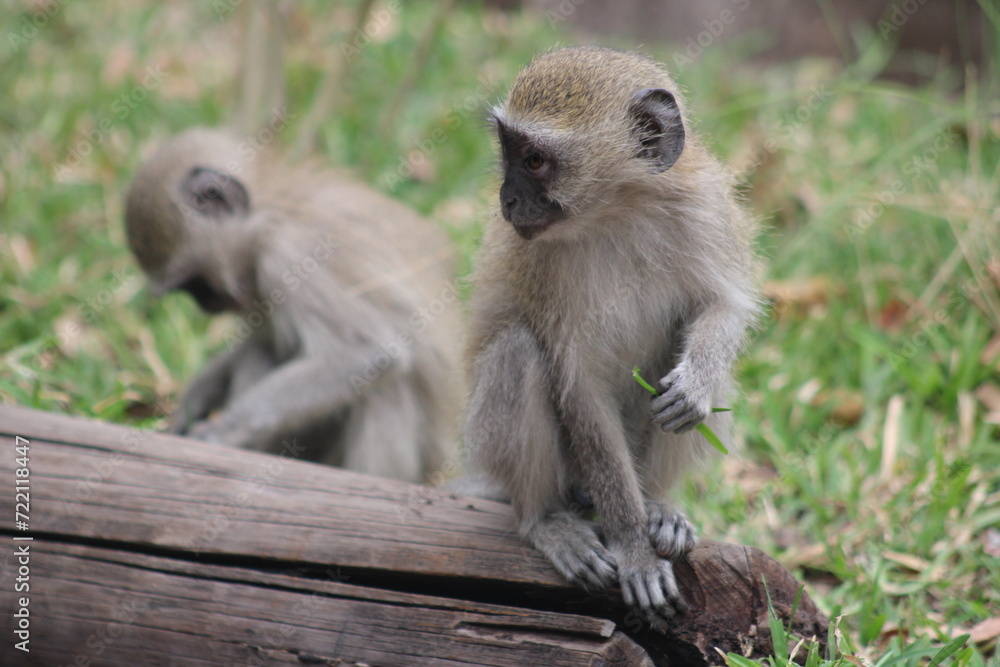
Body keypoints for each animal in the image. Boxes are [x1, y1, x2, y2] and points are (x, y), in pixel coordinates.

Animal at [124, 127, 462, 483]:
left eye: (195, 285)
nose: (206, 305)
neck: (274, 207)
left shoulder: (290, 253)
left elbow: (369, 353)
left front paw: (218, 433)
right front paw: (196, 397)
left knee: (386, 384)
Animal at [457, 47, 760, 622]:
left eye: (534, 160)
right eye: (508, 152)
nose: (507, 201)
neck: (618, 212)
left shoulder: (704, 209)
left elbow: (725, 305)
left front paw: (695, 386)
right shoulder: (541, 265)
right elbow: (580, 388)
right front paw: (634, 548)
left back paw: (659, 505)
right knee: (519, 353)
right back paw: (546, 520)